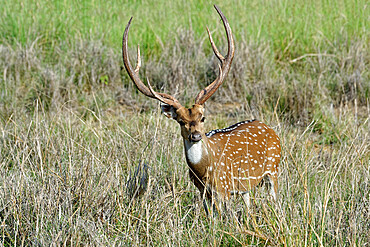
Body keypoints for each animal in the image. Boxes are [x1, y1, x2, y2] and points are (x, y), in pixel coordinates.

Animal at [121, 5, 280, 214]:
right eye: (180, 121)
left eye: (202, 118)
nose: (195, 135)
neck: (205, 171)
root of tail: (270, 129)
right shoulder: (203, 191)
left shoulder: (224, 187)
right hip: (246, 185)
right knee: (248, 205)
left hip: (274, 169)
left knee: (276, 200)